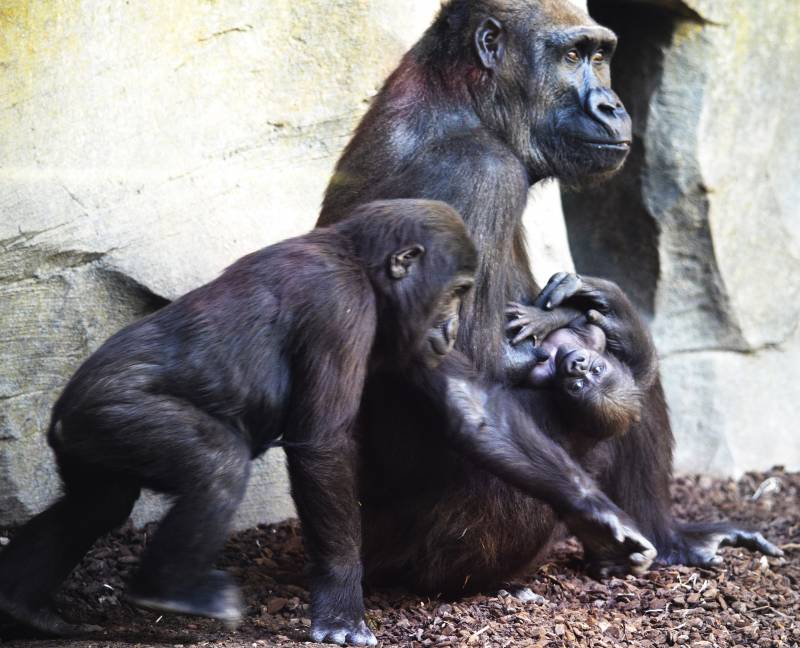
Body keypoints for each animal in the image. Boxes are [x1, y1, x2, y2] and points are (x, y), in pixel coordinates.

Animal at [0, 199, 476, 644]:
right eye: (456, 291)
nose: (452, 329)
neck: (357, 259)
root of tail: (60, 414)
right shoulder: (341, 307)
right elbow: (323, 445)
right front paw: (341, 608)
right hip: (110, 413)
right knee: (217, 464)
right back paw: (169, 590)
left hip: (87, 437)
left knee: (96, 504)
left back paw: (22, 605)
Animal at [316, 0, 780, 592]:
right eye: (572, 56)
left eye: (600, 56)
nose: (611, 103)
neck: (465, 103)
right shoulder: (477, 175)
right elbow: (477, 377)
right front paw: (596, 514)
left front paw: (602, 305)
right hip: (418, 558)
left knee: (629, 370)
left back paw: (671, 536)